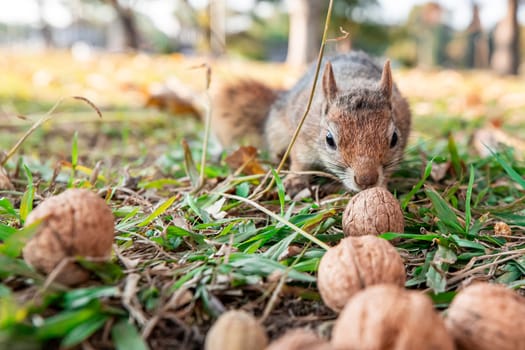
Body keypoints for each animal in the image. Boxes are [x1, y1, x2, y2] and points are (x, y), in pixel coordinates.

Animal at [211, 51, 412, 196]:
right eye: (329, 140)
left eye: (394, 138)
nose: (366, 180)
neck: (354, 82)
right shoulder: (302, 136)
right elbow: (299, 162)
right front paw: (294, 181)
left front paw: (383, 186)